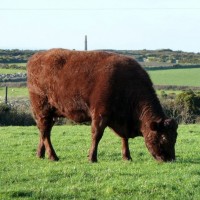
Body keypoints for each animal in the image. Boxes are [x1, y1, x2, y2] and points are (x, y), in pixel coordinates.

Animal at [27, 48, 178, 162]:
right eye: (163, 138)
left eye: (175, 137)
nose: (170, 159)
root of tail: (37, 57)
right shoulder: (100, 114)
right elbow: (97, 135)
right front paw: (92, 158)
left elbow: (124, 138)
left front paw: (127, 157)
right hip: (42, 110)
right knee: (45, 132)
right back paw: (53, 156)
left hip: (51, 113)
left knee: (44, 131)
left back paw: (40, 154)